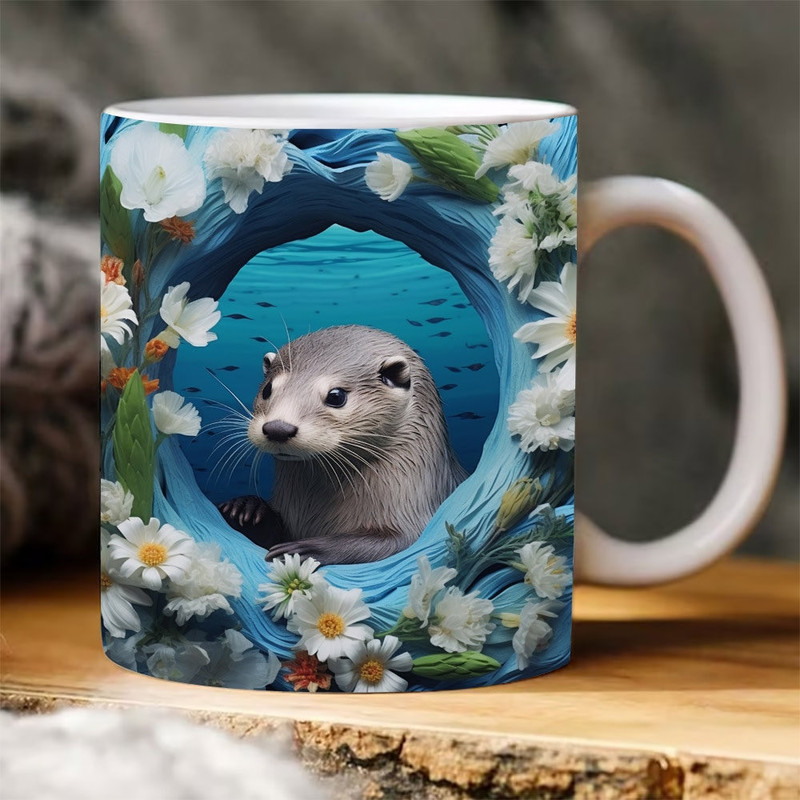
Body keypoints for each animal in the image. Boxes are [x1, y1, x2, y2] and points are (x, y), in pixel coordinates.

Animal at [218, 325, 467, 565]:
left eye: (336, 396)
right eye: (268, 389)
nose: (277, 428)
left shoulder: (413, 517)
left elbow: (393, 543)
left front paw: (306, 549)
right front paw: (247, 508)